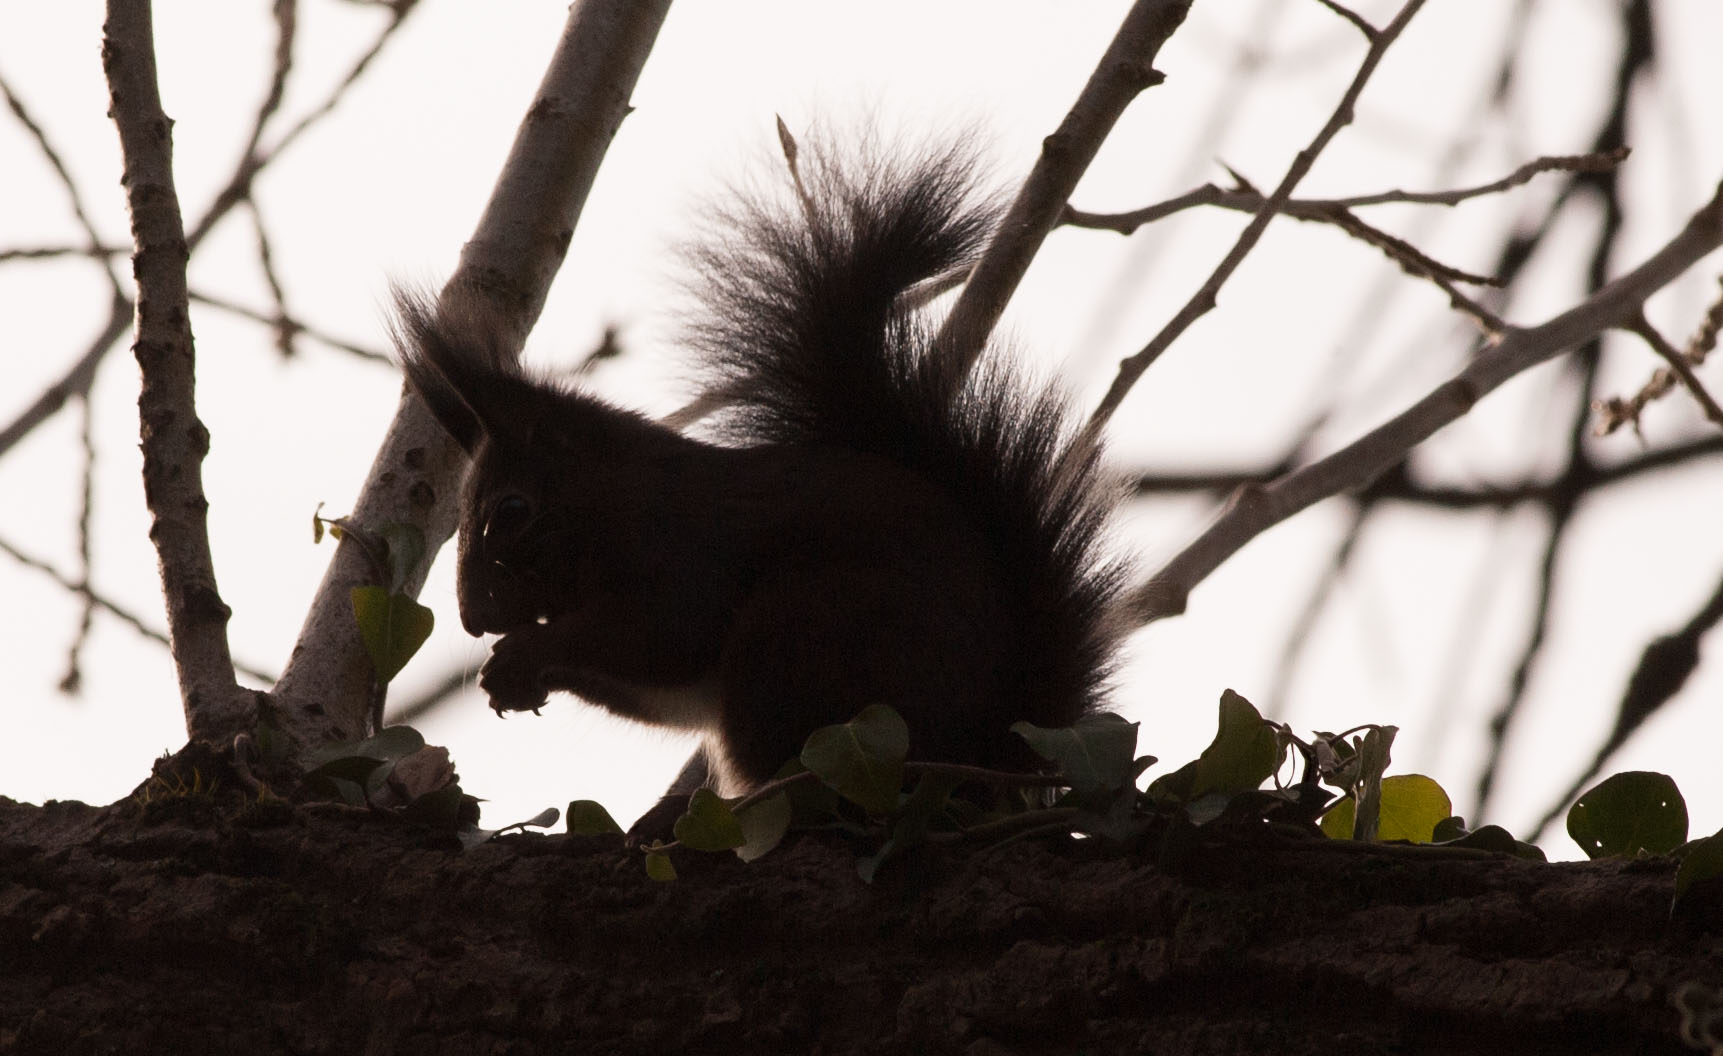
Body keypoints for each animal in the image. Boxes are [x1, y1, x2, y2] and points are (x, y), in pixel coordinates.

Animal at [394, 134, 1126, 838]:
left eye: (512, 510)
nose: (474, 618)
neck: (621, 499)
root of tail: (989, 755)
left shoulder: (686, 554)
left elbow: (663, 636)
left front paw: (531, 651)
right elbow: (662, 690)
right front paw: (516, 676)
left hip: (805, 642)